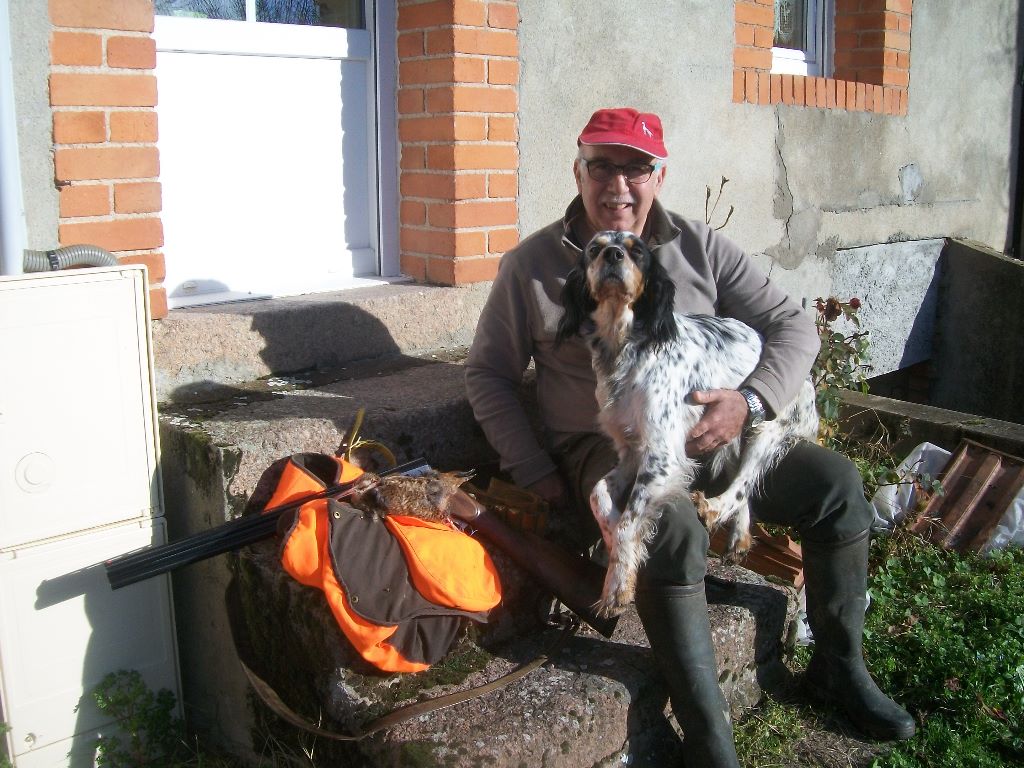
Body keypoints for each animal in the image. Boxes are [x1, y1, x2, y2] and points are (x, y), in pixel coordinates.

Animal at [557, 230, 819, 618]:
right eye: (594, 248)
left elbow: (628, 523)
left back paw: (711, 508)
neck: (625, 345)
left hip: (763, 428)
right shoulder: (631, 452)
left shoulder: (662, 456)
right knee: (745, 487)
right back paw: (739, 536)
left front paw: (617, 585)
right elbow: (600, 499)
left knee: (742, 484)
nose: (613, 255)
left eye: (637, 251)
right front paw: (617, 549)